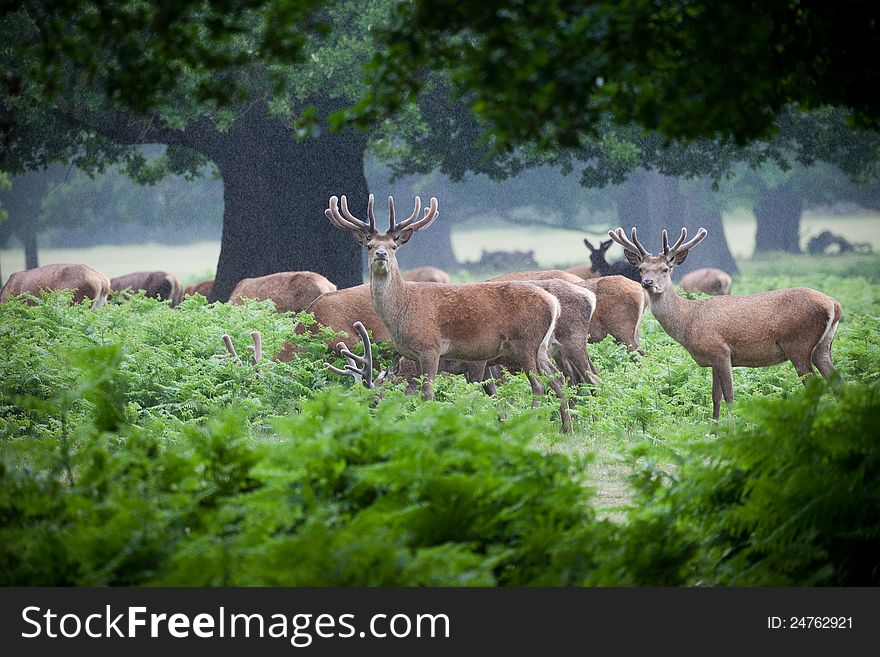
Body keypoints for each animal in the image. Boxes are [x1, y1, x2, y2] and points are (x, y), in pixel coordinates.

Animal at [326, 192, 576, 434]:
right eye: (369, 245)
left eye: (393, 246)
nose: (380, 254)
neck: (403, 310)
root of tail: (553, 303)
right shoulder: (414, 355)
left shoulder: (431, 347)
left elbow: (428, 392)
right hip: (541, 347)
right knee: (558, 379)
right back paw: (566, 429)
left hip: (525, 342)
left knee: (539, 384)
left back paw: (530, 425)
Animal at [608, 228, 844, 418]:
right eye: (641, 268)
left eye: (665, 269)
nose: (647, 283)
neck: (688, 321)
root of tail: (834, 305)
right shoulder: (712, 358)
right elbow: (715, 396)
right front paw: (714, 428)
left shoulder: (721, 351)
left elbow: (729, 395)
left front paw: (731, 428)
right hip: (823, 346)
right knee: (837, 381)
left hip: (798, 344)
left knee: (814, 385)